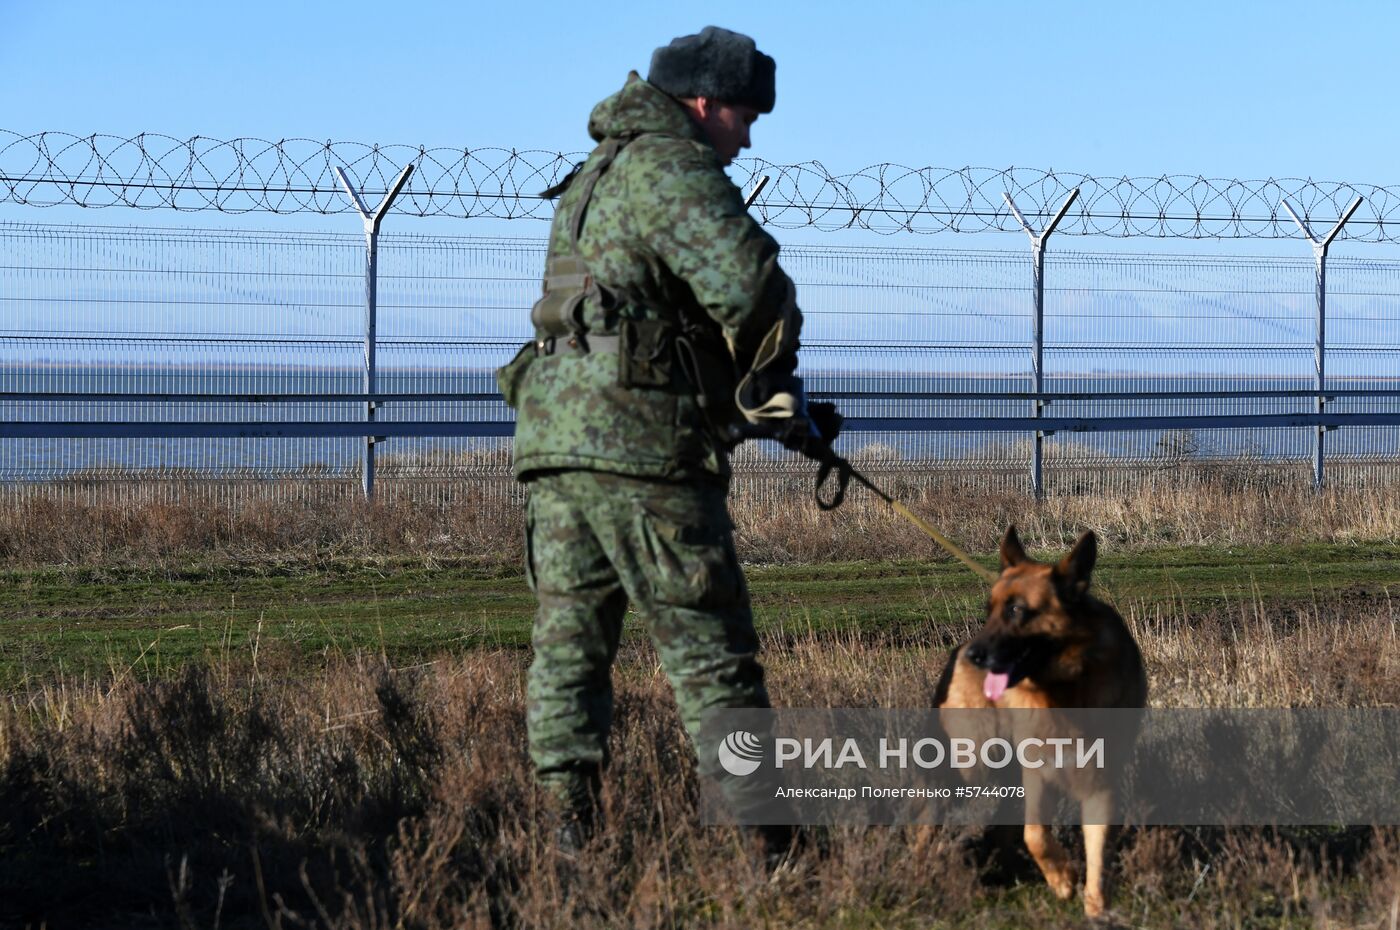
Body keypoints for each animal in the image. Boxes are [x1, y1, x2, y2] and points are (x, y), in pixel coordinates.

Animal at [935, 526, 1142, 918]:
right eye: (989, 611)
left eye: (1017, 610)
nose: (974, 657)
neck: (1063, 689)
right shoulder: (1037, 776)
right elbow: (1035, 834)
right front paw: (1061, 879)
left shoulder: (1101, 785)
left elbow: (1097, 854)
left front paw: (1096, 908)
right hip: (971, 766)